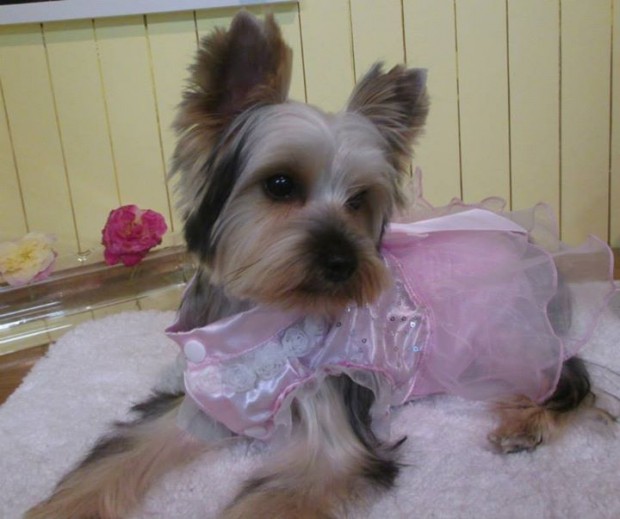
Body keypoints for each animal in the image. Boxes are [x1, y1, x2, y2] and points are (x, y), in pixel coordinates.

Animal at [27, 11, 601, 519]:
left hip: (509, 338)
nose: (344, 262)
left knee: (568, 377)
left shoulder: (331, 439)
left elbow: (275, 495)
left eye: (359, 200)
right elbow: (118, 456)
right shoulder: (202, 404)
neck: (259, 319)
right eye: (280, 184)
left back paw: (523, 426)